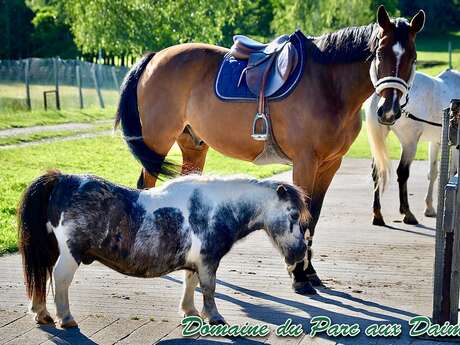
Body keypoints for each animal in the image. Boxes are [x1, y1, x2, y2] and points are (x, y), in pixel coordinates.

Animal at [114, 6, 424, 292]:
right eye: (380, 54)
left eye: (412, 58)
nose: (389, 110)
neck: (329, 85)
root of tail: (155, 56)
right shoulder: (305, 162)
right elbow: (303, 215)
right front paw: (299, 276)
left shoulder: (330, 164)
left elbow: (314, 216)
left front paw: (309, 272)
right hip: (157, 141)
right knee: (145, 186)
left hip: (193, 146)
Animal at [364, 69, 458, 226]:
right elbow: (453, 173)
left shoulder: (435, 142)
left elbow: (433, 173)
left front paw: (429, 208)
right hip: (410, 143)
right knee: (402, 173)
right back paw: (407, 213)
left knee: (377, 171)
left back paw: (377, 214)